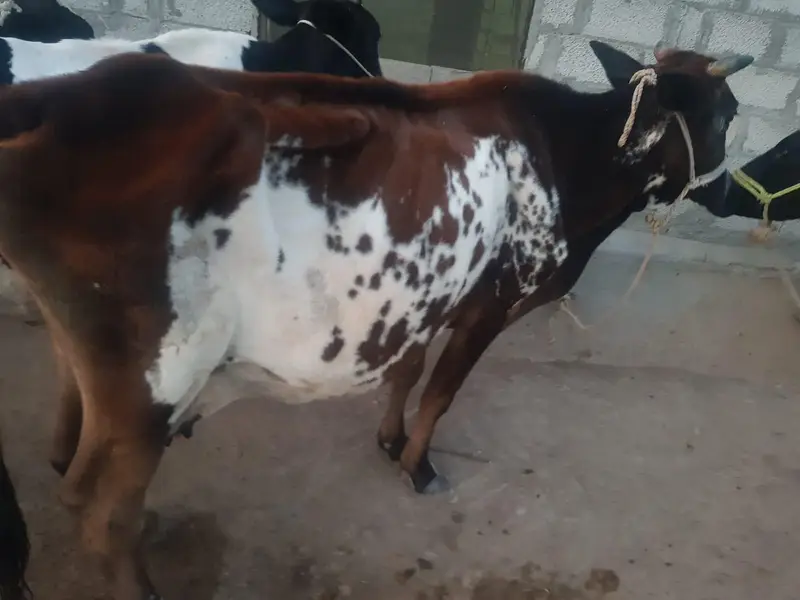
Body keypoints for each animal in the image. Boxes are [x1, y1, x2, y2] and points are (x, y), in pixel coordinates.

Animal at [0, 41, 751, 599]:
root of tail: (60, 99)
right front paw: (418, 466)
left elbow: (409, 370)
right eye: (725, 116)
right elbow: (441, 392)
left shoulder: (430, 298)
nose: (725, 194)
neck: (571, 159)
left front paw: (390, 440)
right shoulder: (494, 302)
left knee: (71, 461)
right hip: (156, 380)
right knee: (100, 513)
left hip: (92, 365)